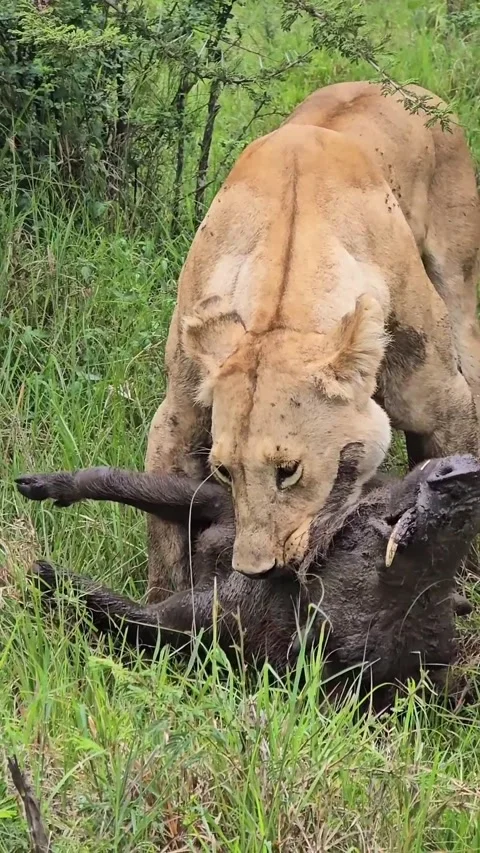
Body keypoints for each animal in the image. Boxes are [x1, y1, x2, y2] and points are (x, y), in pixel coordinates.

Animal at [146, 80, 480, 601]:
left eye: (289, 470)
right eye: (223, 471)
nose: (256, 571)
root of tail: (410, 88)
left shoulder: (446, 402)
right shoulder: (177, 416)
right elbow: (163, 539)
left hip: (460, 279)